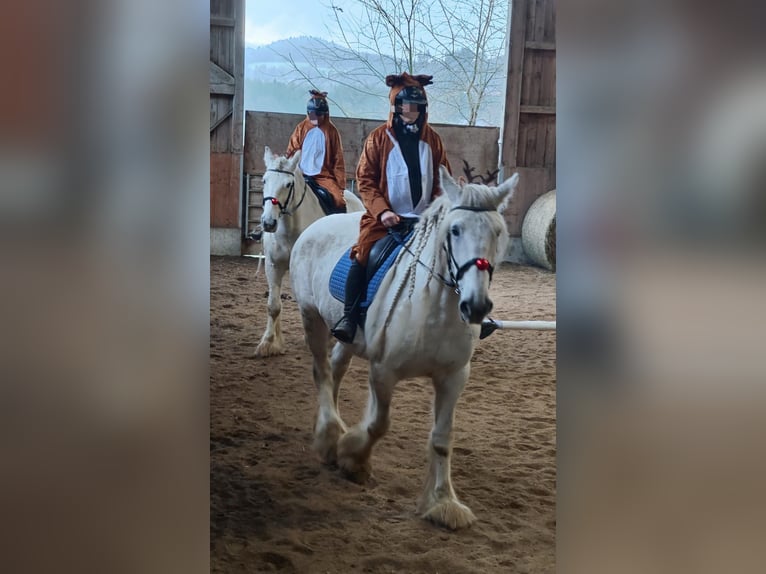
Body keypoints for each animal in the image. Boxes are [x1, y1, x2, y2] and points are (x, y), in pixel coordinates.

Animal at [254, 146, 364, 357]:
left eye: (288, 184)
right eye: (264, 180)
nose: (268, 222)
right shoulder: (273, 265)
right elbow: (274, 305)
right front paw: (269, 342)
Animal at [289, 166, 519, 529]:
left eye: (497, 232)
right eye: (455, 230)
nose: (476, 306)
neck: (432, 308)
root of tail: (318, 225)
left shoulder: (454, 378)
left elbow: (442, 439)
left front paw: (443, 503)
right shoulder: (384, 371)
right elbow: (378, 424)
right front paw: (353, 458)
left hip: (347, 337)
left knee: (336, 370)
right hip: (312, 318)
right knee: (322, 371)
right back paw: (328, 436)